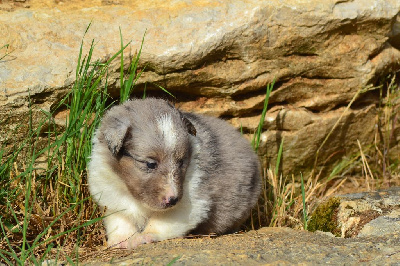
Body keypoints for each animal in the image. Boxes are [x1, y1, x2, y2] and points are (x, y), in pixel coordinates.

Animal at [88, 98, 260, 249]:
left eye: (181, 162)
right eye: (151, 164)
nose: (172, 199)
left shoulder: (190, 202)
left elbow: (160, 221)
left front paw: (144, 236)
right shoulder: (112, 195)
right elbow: (121, 221)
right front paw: (122, 241)